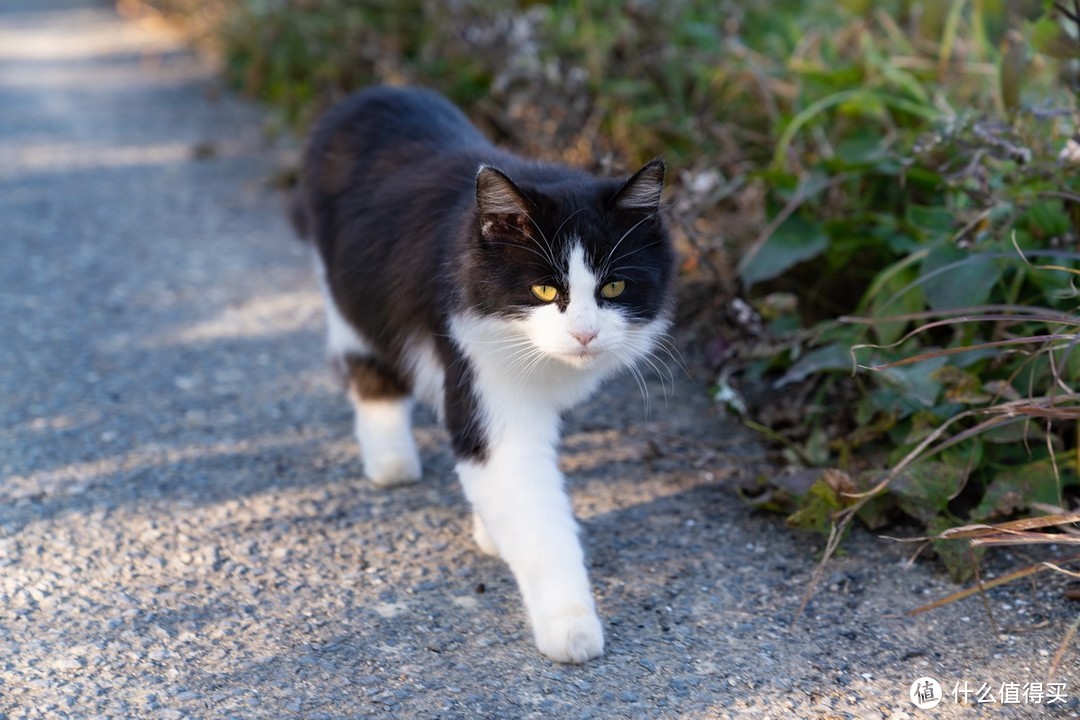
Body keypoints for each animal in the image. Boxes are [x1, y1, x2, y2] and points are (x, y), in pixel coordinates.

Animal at [287, 85, 673, 664]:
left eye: (614, 289)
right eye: (543, 290)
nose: (585, 334)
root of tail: (370, 94)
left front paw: (490, 529)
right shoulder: (482, 375)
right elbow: (536, 518)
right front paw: (570, 626)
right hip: (346, 292)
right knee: (367, 367)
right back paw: (391, 461)